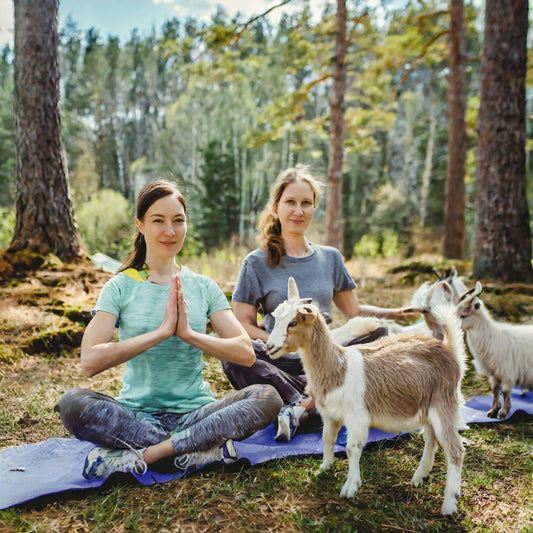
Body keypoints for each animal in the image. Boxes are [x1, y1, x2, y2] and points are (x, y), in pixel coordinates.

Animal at [268, 276, 464, 512]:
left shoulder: (356, 417)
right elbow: (327, 438)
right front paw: (324, 467)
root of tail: (449, 350)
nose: (269, 347)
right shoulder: (330, 414)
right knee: (431, 439)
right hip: (427, 407)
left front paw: (350, 487)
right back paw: (419, 477)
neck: (338, 367)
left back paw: (449, 504)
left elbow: (352, 448)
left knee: (455, 449)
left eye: (293, 322)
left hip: (444, 403)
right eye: (276, 317)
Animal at [454, 280, 532, 418]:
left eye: (462, 315)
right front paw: (493, 411)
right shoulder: (495, 372)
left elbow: (505, 391)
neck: (492, 335)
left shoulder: (507, 372)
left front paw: (504, 413)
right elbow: (495, 389)